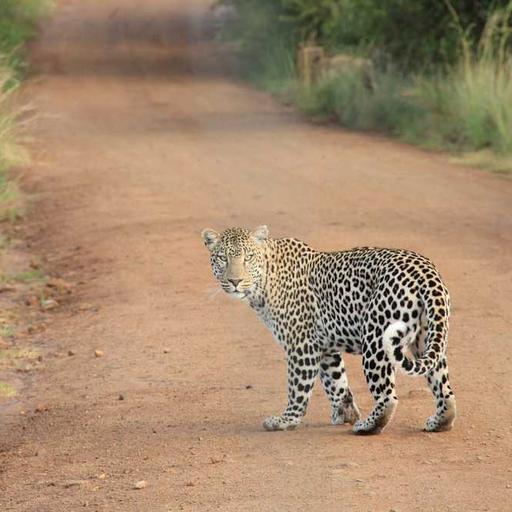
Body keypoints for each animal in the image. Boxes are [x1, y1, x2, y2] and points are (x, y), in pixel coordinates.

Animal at [200, 226, 456, 434]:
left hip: (376, 340)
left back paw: (367, 426)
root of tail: (426, 272)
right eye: (222, 258)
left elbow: (298, 387)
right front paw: (345, 413)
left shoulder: (301, 345)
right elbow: (336, 382)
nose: (234, 281)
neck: (263, 283)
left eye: (248, 258)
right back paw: (439, 422)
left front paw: (286, 420)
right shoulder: (324, 347)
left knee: (387, 397)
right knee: (444, 389)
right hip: (427, 338)